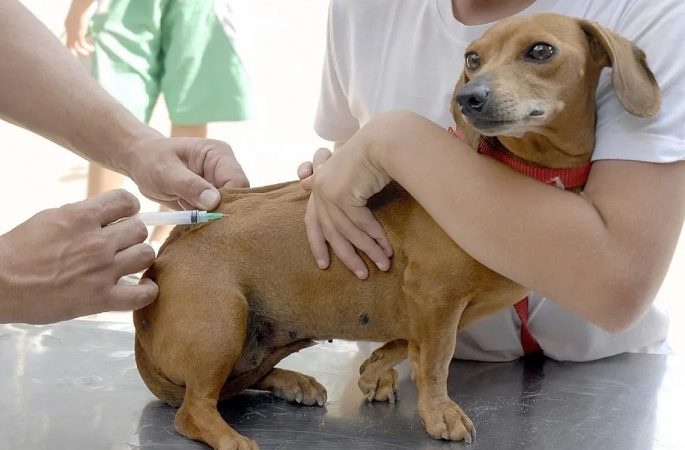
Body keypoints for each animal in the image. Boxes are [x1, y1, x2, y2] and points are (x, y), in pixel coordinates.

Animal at [131, 12, 660, 448]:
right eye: (472, 58)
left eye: (541, 51)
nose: (468, 98)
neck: (520, 172)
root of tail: (166, 253)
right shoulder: (435, 295)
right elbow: (435, 360)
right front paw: (439, 413)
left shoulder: (435, 308)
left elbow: (411, 344)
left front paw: (375, 369)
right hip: (223, 325)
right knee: (195, 409)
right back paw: (233, 437)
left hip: (254, 342)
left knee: (233, 387)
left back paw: (292, 382)